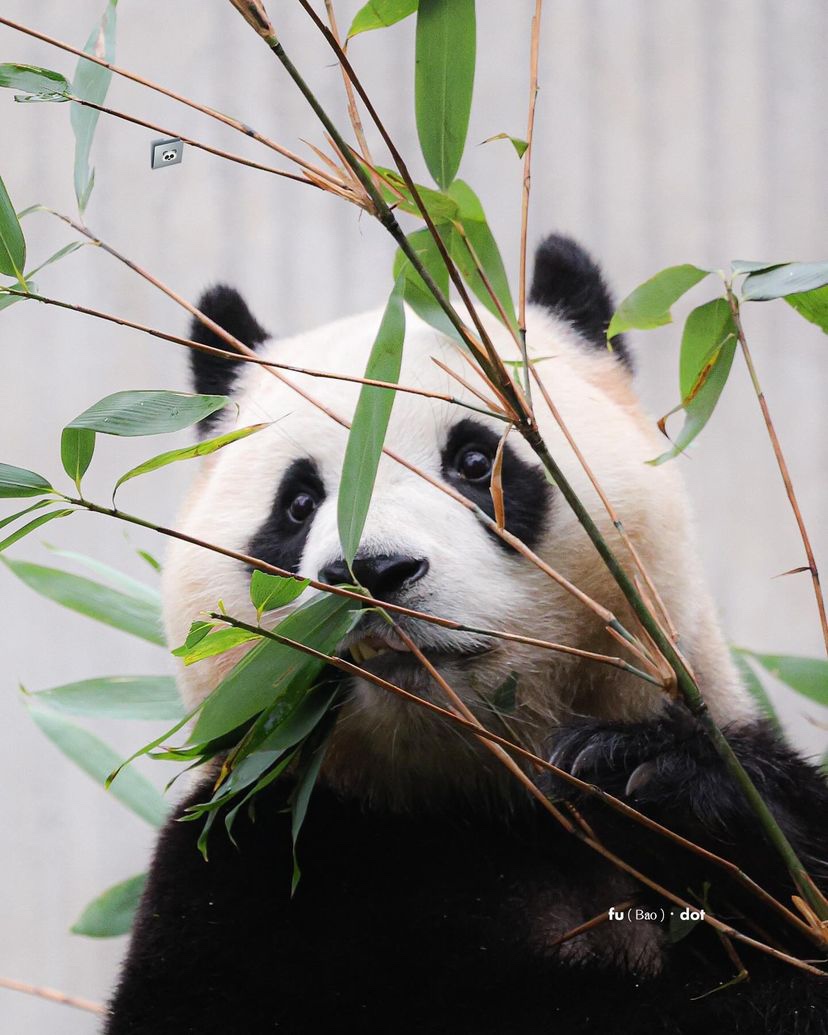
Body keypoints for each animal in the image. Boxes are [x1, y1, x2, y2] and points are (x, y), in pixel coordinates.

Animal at [105, 237, 828, 1035]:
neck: (470, 800)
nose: (374, 571)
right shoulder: (244, 861)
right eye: (298, 504)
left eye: (475, 461)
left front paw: (651, 775)